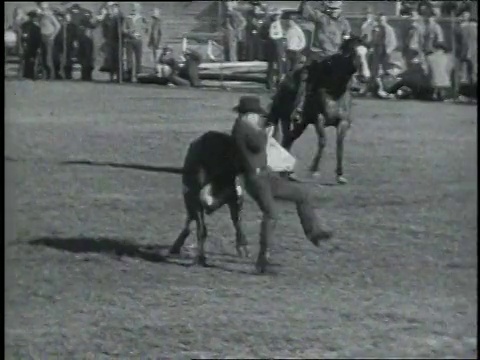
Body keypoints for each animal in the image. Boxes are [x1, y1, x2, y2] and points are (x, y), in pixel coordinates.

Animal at [268, 35, 370, 184]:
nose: (365, 77)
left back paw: (288, 172)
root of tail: (283, 80)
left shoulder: (343, 122)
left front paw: (340, 174)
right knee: (286, 136)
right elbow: (323, 141)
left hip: (300, 123)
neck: (333, 91)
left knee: (289, 138)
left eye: (367, 53)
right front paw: (314, 170)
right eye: (354, 53)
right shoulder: (319, 119)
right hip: (284, 117)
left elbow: (340, 144)